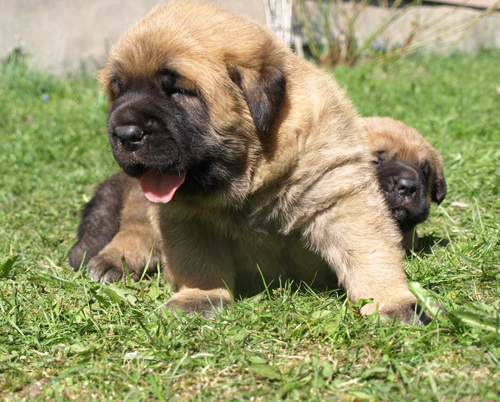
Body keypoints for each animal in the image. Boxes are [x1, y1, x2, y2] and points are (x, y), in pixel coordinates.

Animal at [70, 1, 430, 324]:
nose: (125, 133)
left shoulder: (337, 190)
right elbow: (197, 260)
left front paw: (391, 302)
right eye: (119, 91)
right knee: (133, 233)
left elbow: (367, 250)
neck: (253, 176)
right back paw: (112, 262)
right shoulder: (184, 217)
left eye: (179, 91)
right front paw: (198, 297)